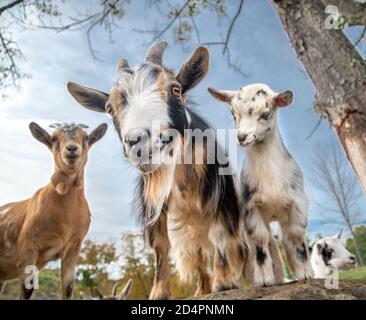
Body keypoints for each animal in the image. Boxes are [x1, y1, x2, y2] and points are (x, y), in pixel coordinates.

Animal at [0, 121, 107, 298]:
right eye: (54, 138)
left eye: (85, 137)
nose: (71, 148)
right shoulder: (27, 247)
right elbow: (27, 289)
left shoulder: (74, 247)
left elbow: (68, 287)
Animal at [67, 41, 247, 298]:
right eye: (109, 108)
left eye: (175, 89)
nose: (139, 142)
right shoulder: (156, 205)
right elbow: (161, 245)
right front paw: (159, 292)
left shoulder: (220, 195)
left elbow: (220, 232)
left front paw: (224, 282)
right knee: (198, 253)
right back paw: (201, 289)